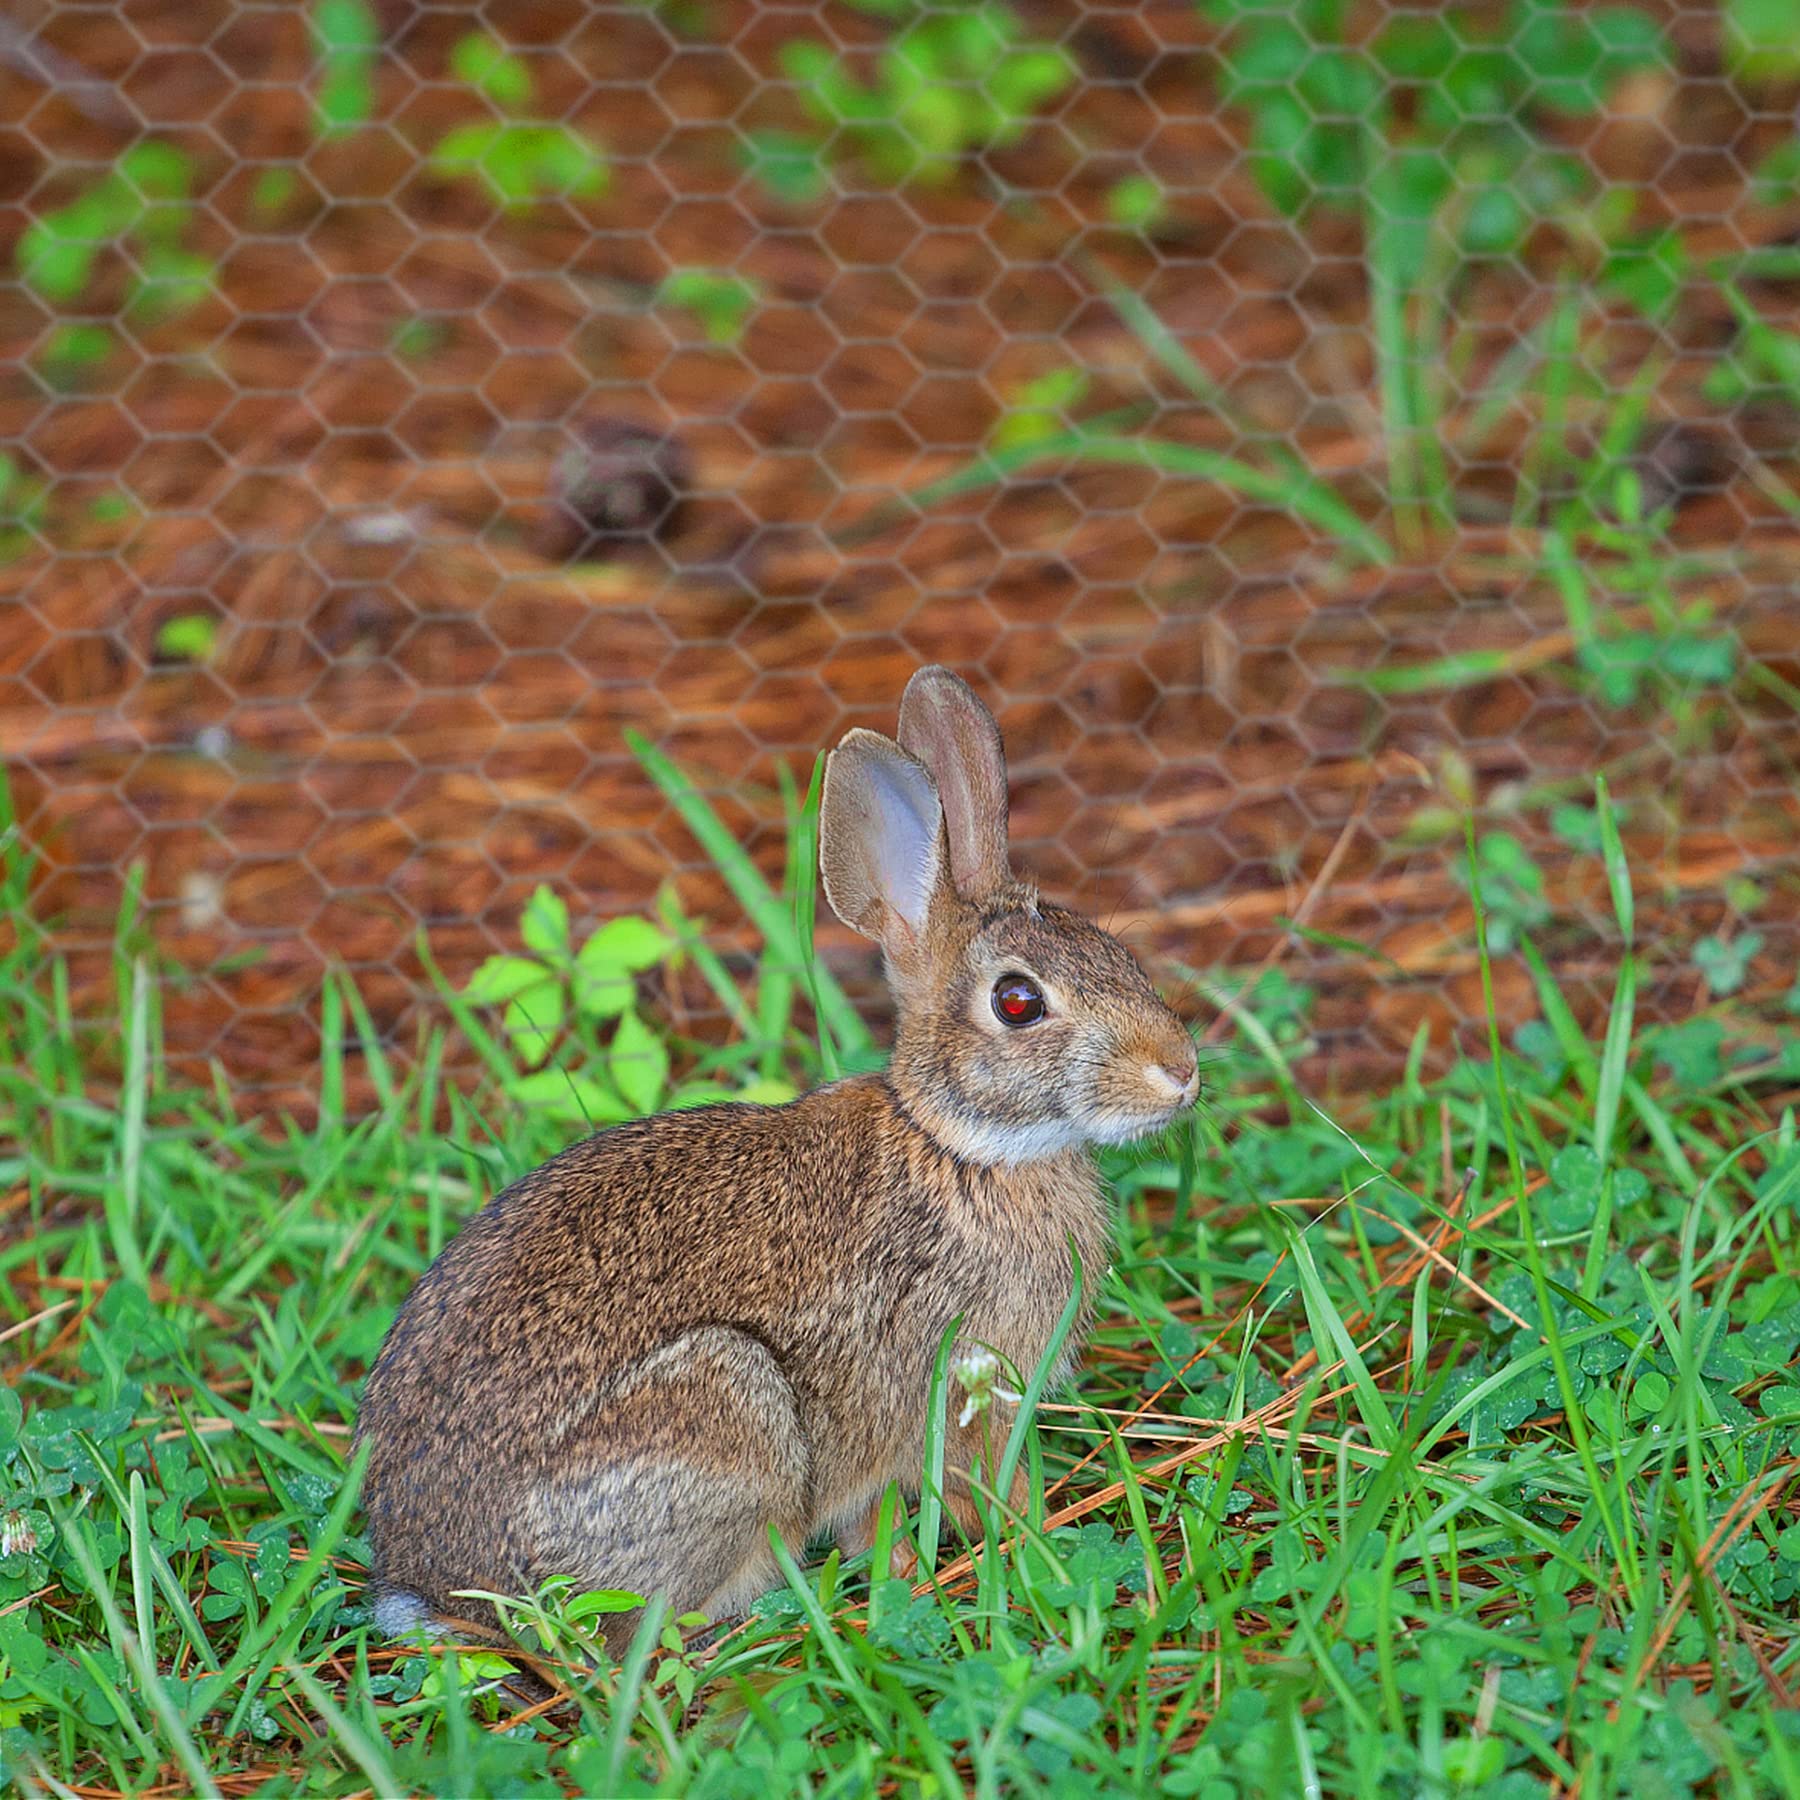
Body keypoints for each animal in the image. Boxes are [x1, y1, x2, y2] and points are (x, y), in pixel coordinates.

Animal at [354, 666, 1200, 1655]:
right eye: (1019, 1002)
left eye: (1117, 951)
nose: (1181, 1073)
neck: (958, 1146)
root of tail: (429, 1579)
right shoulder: (952, 1391)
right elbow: (967, 1495)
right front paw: (1019, 1553)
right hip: (730, 1407)